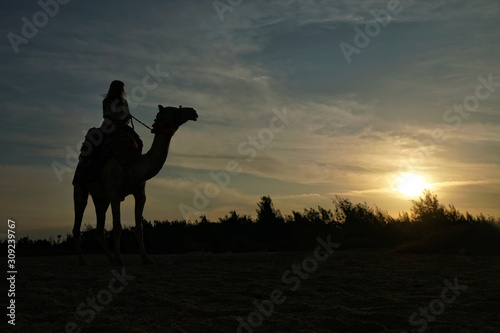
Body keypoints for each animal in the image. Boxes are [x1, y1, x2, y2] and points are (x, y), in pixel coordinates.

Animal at [72, 104, 197, 264]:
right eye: (176, 111)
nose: (193, 111)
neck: (132, 166)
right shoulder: (114, 194)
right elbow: (117, 228)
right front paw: (120, 259)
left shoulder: (140, 194)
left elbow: (139, 228)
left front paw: (146, 258)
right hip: (80, 187)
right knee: (77, 224)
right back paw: (83, 260)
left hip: (101, 199)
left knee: (99, 230)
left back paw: (110, 258)